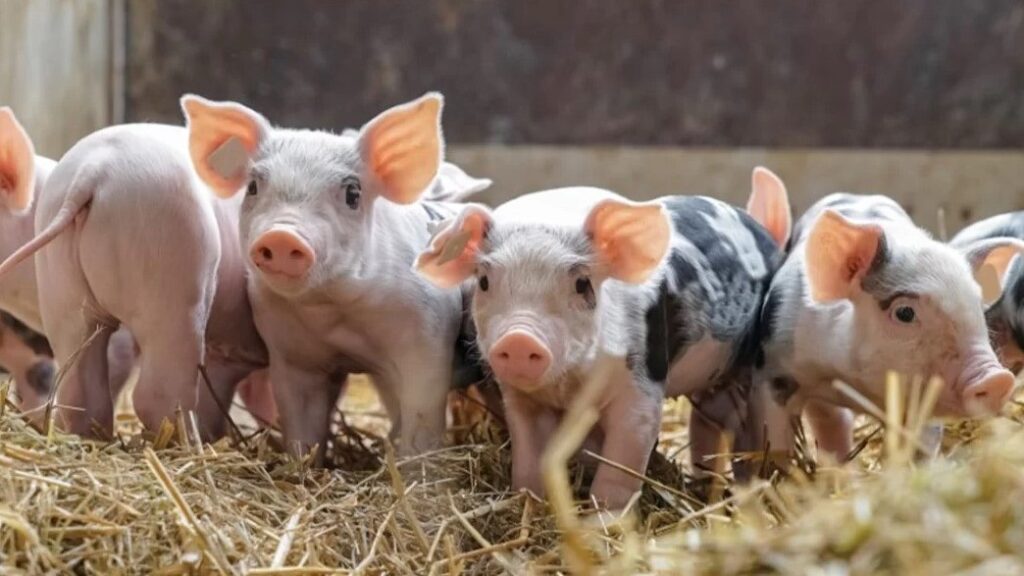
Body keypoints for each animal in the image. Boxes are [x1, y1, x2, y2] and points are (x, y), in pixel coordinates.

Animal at [181, 92, 492, 460]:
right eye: (253, 186)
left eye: (353, 194)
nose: (282, 235)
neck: (335, 310)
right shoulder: (291, 356)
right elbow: (302, 423)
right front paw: (303, 464)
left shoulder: (427, 340)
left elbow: (422, 415)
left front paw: (414, 466)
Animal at [413, 168, 792, 509]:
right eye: (484, 281)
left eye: (582, 283)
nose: (520, 339)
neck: (569, 387)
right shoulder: (521, 401)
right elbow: (528, 457)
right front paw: (529, 503)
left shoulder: (642, 385)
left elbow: (624, 459)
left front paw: (604, 521)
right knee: (708, 424)